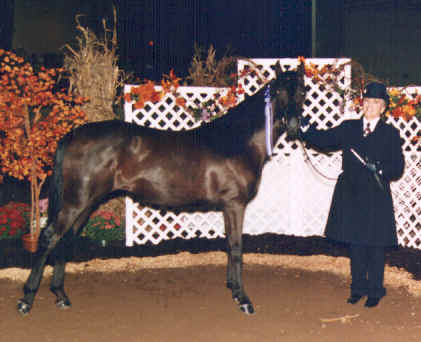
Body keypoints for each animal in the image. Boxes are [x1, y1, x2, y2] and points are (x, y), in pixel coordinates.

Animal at [17, 60, 306, 316]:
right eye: (279, 91)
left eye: (302, 92)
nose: (293, 127)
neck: (236, 140)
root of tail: (72, 136)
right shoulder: (234, 204)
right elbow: (236, 247)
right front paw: (244, 300)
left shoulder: (228, 207)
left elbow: (229, 244)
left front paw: (234, 290)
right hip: (75, 202)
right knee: (49, 237)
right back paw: (26, 300)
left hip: (86, 203)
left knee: (64, 240)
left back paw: (61, 296)